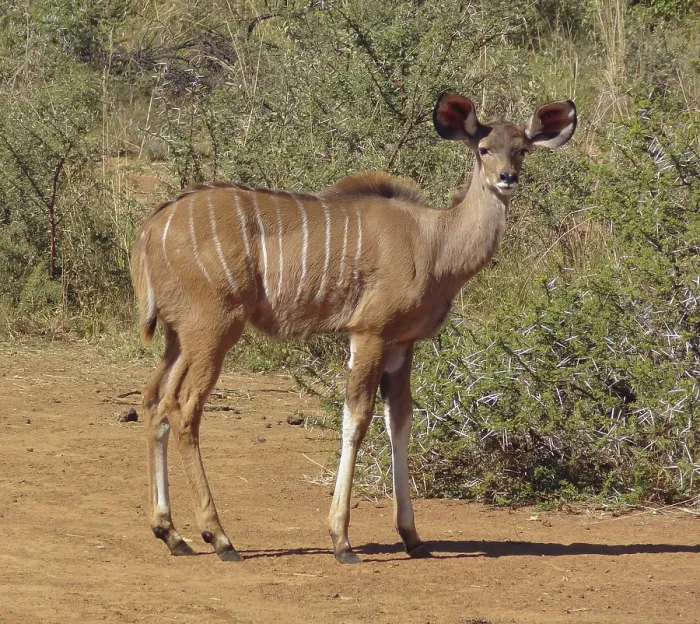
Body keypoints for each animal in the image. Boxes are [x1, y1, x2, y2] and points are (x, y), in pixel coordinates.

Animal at [131, 92, 577, 564]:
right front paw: (341, 539)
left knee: (154, 400)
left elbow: (400, 420)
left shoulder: (402, 344)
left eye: (522, 149)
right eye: (484, 149)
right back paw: (218, 537)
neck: (434, 241)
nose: (508, 178)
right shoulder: (369, 333)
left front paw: (412, 537)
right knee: (184, 408)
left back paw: (171, 533)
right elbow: (356, 418)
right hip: (214, 329)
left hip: (179, 337)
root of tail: (151, 229)